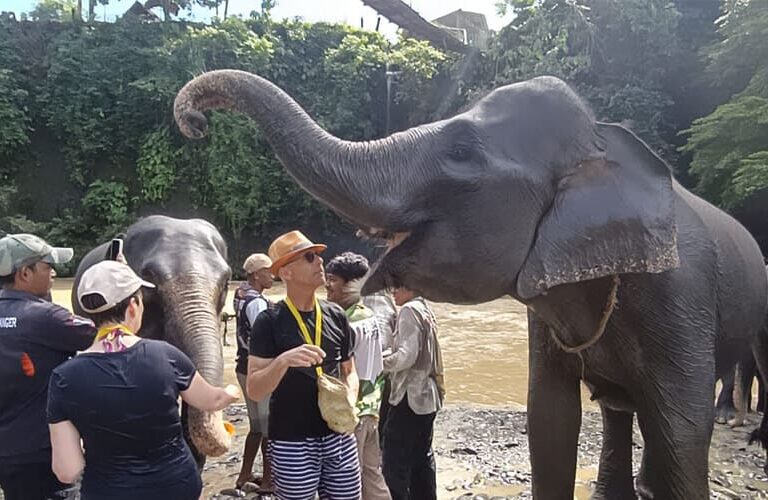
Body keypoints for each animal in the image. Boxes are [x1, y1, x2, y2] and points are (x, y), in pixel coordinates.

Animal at [173, 70, 768, 499]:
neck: (602, 147)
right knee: (619, 410)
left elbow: (682, 429)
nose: (194, 121)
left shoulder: (680, 293)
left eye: (461, 150)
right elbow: (549, 417)